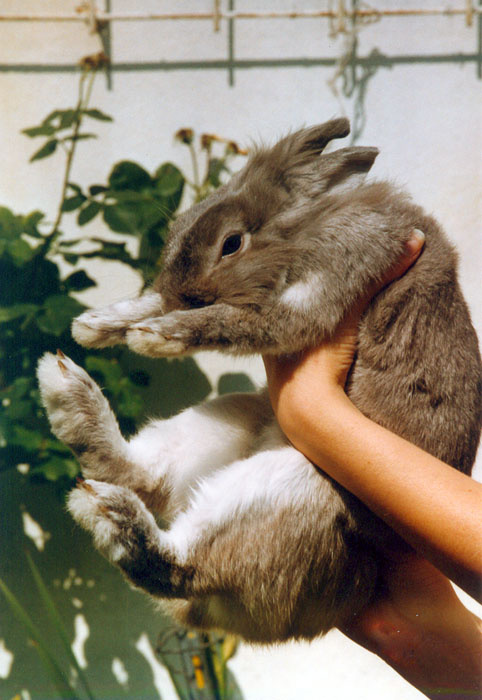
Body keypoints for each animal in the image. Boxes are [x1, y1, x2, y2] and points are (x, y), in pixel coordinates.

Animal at [37, 117, 482, 643]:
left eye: (231, 244)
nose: (180, 292)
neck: (305, 229)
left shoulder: (324, 285)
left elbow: (235, 319)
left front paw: (156, 335)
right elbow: (158, 303)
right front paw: (96, 325)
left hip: (294, 489)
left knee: (182, 565)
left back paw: (110, 512)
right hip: (233, 415)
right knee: (144, 476)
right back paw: (66, 392)